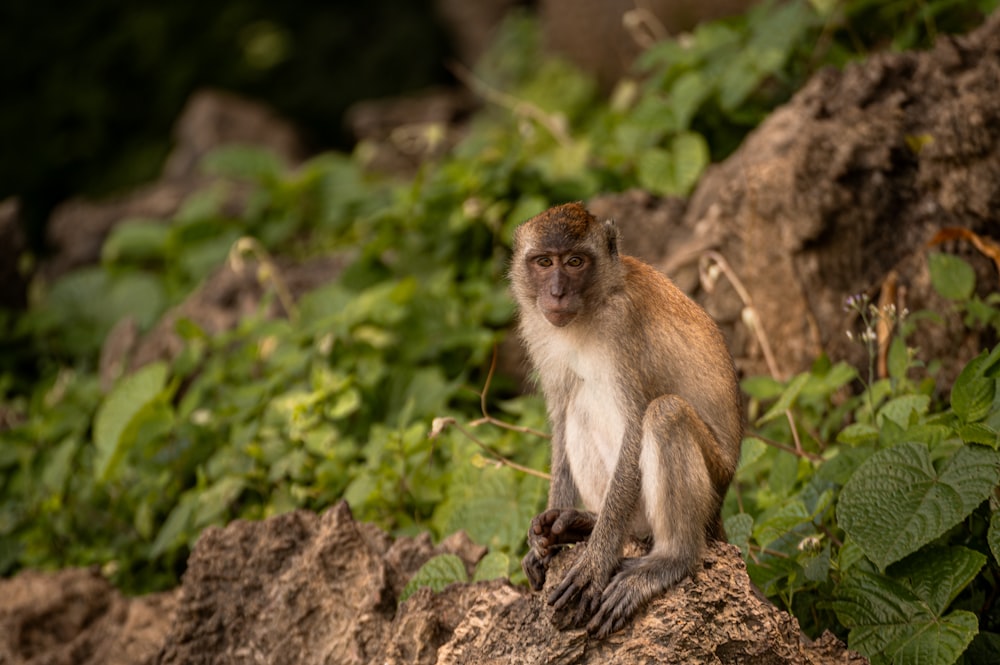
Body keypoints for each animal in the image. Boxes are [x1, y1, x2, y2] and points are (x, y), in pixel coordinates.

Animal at [508, 201, 744, 640]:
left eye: (575, 261)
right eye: (544, 262)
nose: (556, 292)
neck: (594, 304)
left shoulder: (625, 327)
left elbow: (636, 426)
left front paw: (596, 563)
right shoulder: (538, 327)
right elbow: (561, 416)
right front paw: (548, 533)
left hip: (712, 482)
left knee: (665, 414)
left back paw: (669, 558)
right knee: (579, 401)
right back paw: (581, 523)